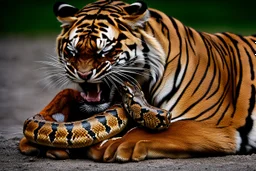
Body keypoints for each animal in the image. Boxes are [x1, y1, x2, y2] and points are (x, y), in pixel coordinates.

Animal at [18, 0, 256, 162]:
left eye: (105, 51)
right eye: (72, 51)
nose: (83, 74)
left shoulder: (214, 124)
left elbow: (147, 130)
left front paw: (112, 145)